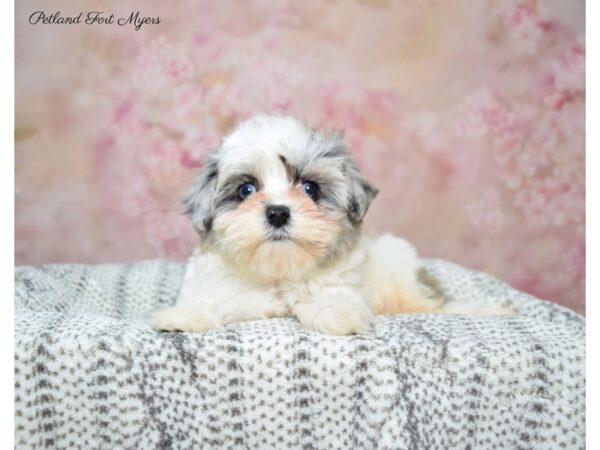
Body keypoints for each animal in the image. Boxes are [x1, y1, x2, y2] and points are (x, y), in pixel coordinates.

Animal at [151, 115, 510, 334]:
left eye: (310, 189)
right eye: (246, 190)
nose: (278, 212)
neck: (278, 273)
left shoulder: (341, 281)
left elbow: (334, 298)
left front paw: (339, 315)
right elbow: (207, 301)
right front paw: (183, 316)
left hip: (397, 263)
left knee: (430, 305)